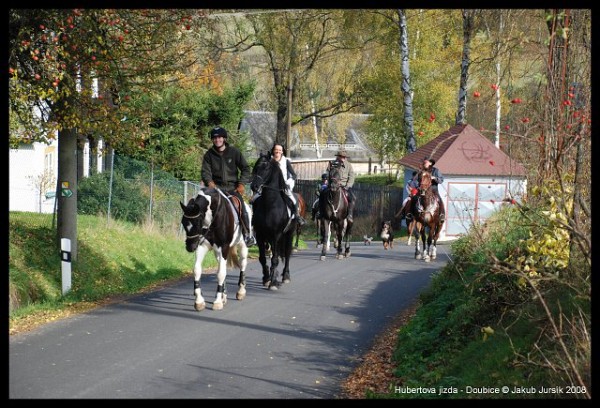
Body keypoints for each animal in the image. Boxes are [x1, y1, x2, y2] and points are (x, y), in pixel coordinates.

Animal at [248, 153, 296, 290]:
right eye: (256, 167)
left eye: (266, 168)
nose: (254, 186)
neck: (270, 205)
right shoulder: (260, 235)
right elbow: (262, 258)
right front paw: (266, 278)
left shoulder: (276, 235)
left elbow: (275, 258)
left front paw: (273, 283)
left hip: (289, 234)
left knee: (287, 253)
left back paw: (285, 276)